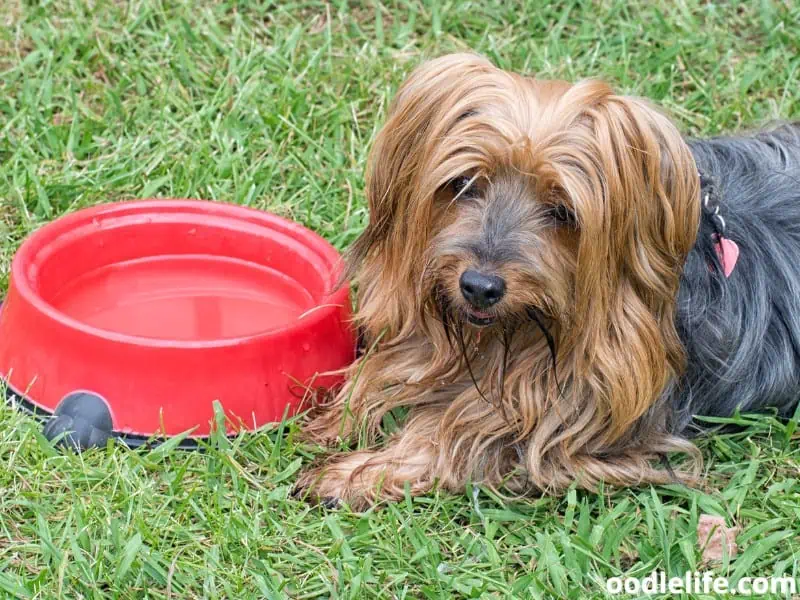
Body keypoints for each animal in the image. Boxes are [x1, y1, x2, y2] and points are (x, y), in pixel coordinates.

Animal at [294, 52, 800, 510]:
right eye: (463, 183)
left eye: (563, 212)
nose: (479, 287)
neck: (515, 332)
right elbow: (389, 365)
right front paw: (339, 416)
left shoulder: (593, 408)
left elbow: (464, 432)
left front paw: (355, 474)